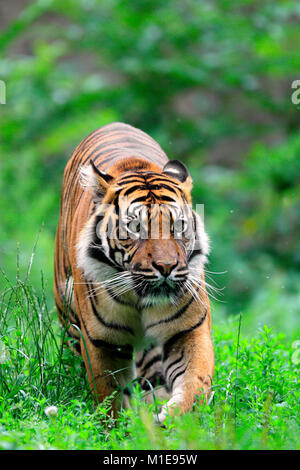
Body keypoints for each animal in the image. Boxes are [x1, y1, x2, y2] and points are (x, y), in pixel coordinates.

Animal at [53, 121, 213, 422]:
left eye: (178, 226)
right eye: (135, 228)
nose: (166, 267)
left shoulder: (188, 330)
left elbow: (194, 383)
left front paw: (171, 420)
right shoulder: (102, 342)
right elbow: (111, 400)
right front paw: (122, 429)